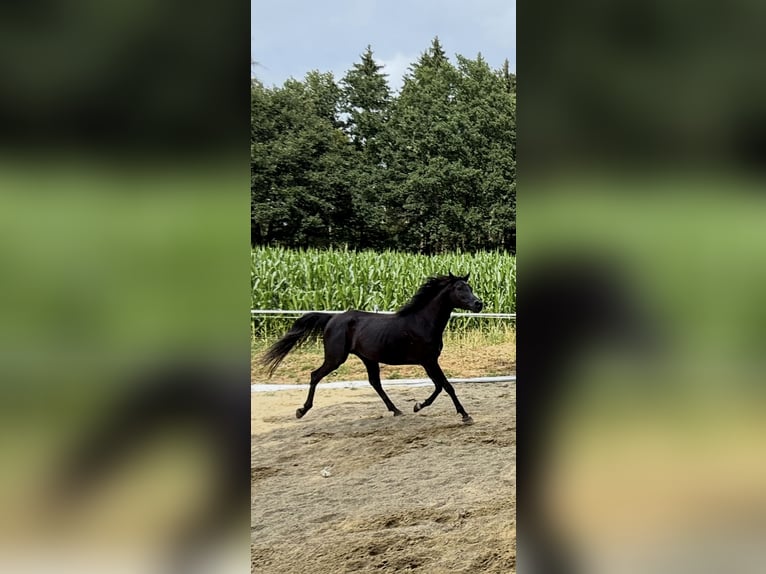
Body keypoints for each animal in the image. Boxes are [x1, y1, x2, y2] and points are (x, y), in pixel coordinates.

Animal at [260, 272, 484, 424]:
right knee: (315, 375)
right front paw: (464, 415)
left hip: (368, 358)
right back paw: (301, 410)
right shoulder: (428, 361)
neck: (423, 321)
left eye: (470, 287)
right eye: (459, 289)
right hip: (336, 358)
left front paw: (418, 406)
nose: (478, 304)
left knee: (375, 382)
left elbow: (440, 386)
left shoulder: (429, 362)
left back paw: (396, 410)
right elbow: (445, 386)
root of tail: (332, 318)